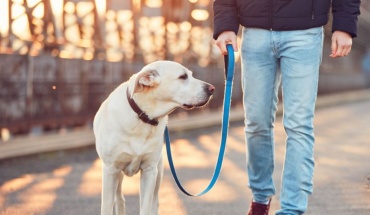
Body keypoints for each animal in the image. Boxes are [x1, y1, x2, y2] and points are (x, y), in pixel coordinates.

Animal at [94, 60, 214, 215]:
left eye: (191, 75)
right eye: (183, 77)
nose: (212, 89)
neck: (144, 117)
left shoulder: (149, 170)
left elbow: (146, 206)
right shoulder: (110, 169)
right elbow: (107, 206)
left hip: (158, 173)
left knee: (154, 202)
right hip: (117, 175)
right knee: (119, 199)